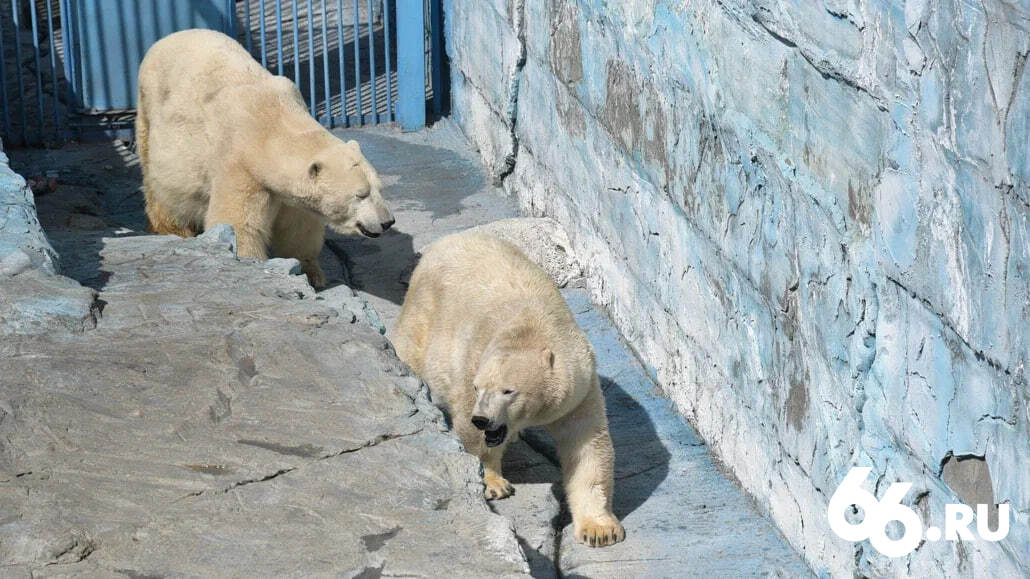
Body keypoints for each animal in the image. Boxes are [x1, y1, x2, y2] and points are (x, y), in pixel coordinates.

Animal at [136, 28, 393, 286]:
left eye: (379, 189)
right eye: (360, 194)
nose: (387, 222)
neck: (270, 126)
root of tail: (169, 37)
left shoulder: (288, 193)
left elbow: (298, 227)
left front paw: (312, 273)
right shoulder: (240, 167)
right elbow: (240, 225)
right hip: (150, 112)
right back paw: (172, 227)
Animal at [389, 230, 622, 543]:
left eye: (509, 391)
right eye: (478, 388)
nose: (481, 419)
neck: (531, 329)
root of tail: (447, 240)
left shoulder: (579, 388)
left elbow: (587, 446)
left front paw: (600, 531)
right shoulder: (472, 363)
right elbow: (472, 434)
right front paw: (493, 482)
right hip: (423, 312)